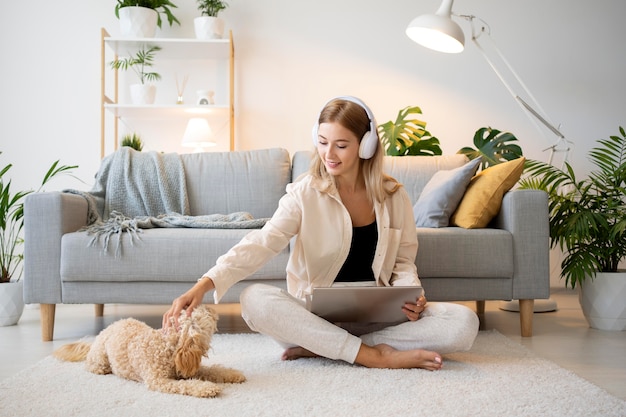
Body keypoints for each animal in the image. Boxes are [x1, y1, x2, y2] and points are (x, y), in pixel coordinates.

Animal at [52, 306, 245, 396]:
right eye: (204, 314)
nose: (213, 308)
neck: (168, 347)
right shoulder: (159, 381)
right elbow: (186, 385)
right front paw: (207, 388)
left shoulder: (188, 368)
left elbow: (213, 370)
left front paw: (232, 374)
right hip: (100, 360)